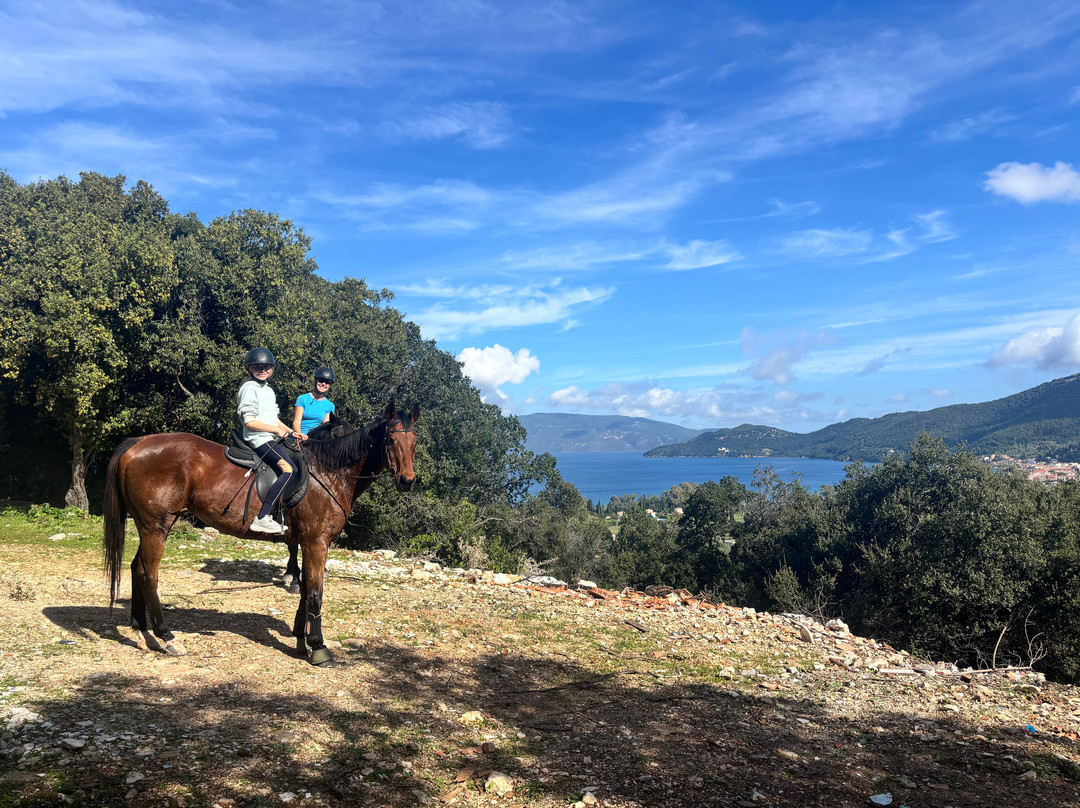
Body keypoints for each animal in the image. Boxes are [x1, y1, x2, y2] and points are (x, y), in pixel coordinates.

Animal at [103, 401, 419, 665]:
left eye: (414, 441)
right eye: (390, 440)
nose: (407, 480)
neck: (329, 472)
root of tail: (138, 444)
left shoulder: (307, 543)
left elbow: (306, 590)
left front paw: (301, 641)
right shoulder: (316, 542)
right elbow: (316, 593)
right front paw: (318, 647)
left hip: (148, 526)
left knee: (136, 568)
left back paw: (143, 632)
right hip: (157, 525)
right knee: (148, 575)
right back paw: (167, 636)